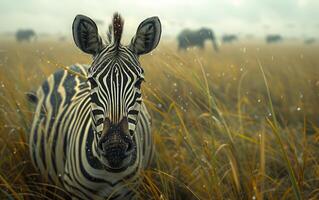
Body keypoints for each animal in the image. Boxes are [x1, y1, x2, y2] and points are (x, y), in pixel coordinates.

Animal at [28, 12, 162, 200]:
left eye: (139, 82)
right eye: (92, 81)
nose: (115, 149)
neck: (110, 173)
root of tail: (74, 65)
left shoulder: (132, 190)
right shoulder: (76, 191)